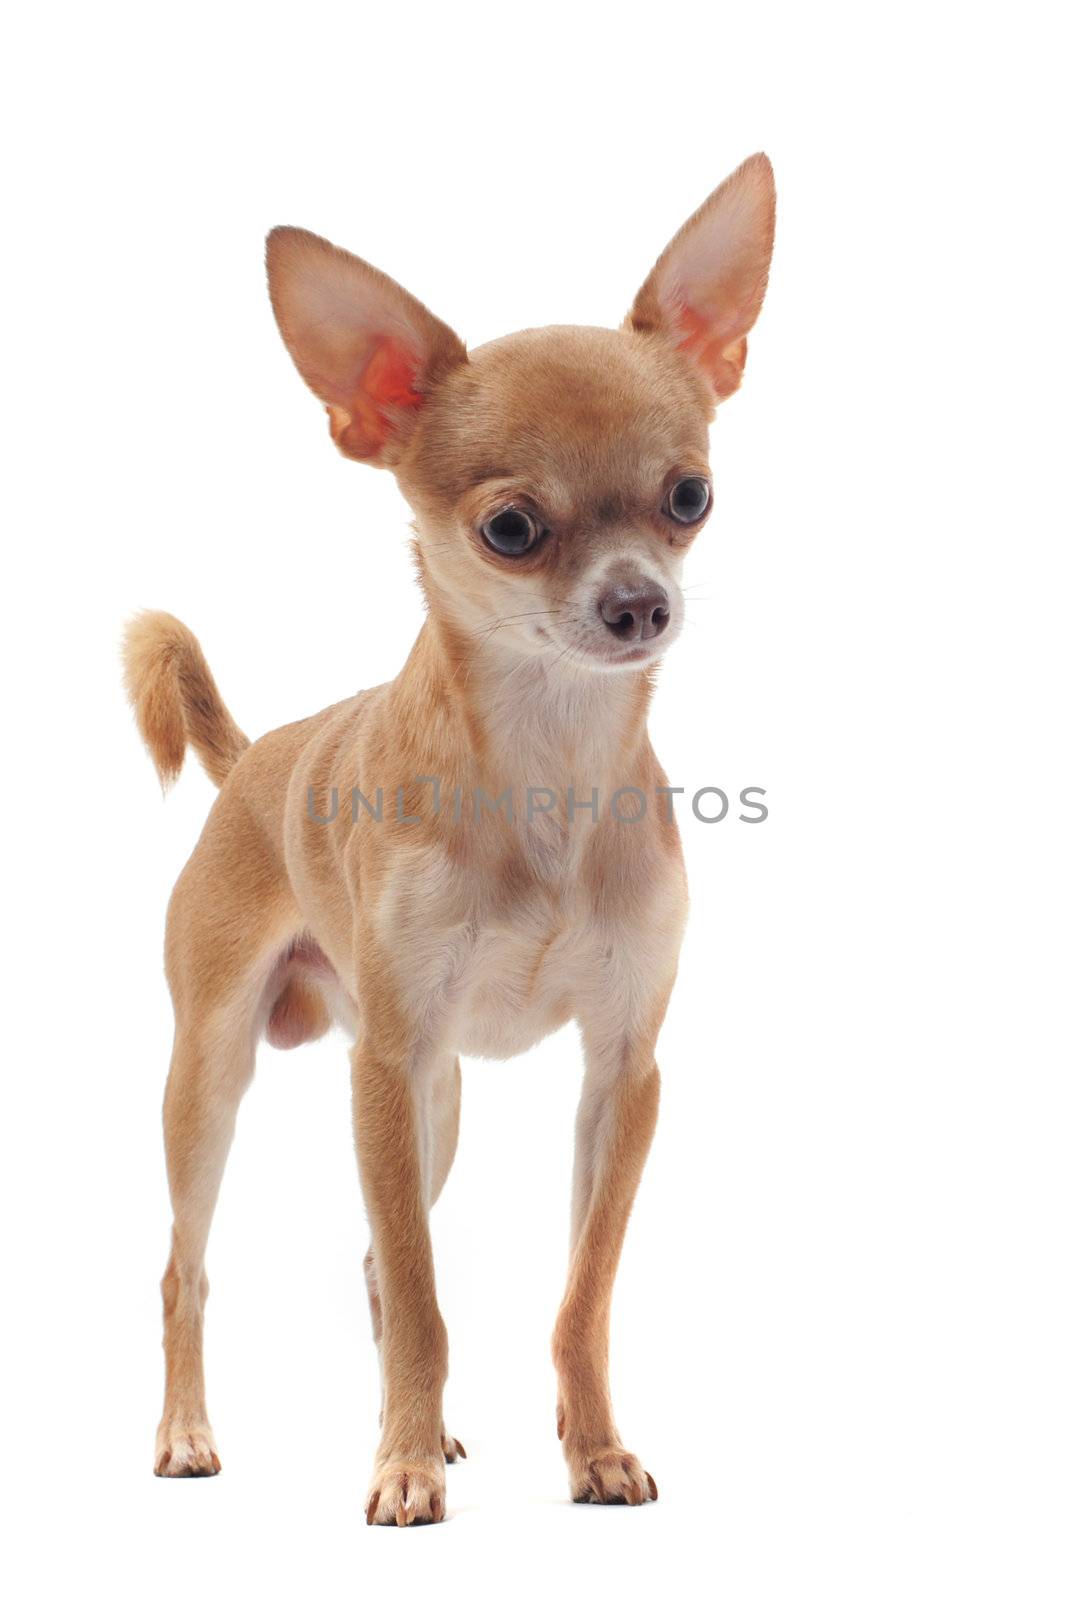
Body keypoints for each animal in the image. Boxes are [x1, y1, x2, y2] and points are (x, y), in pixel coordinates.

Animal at [123, 156, 777, 1529]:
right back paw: (191, 1431)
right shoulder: (386, 1063)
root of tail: (254, 755)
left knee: (382, 1256)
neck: (547, 760)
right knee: (190, 1268)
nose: (640, 602)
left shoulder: (619, 1071)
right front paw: (405, 1466)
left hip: (440, 1103)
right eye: (511, 529)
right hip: (215, 1077)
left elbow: (578, 1293)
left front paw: (590, 1448)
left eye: (688, 497)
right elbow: (427, 1299)